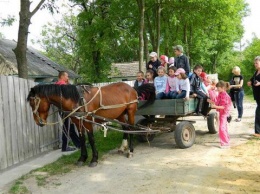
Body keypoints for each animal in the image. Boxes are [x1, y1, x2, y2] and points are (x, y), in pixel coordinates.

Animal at [27, 82, 155, 167]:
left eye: (33, 103)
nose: (38, 122)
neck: (77, 100)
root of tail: (132, 88)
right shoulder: (78, 122)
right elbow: (82, 139)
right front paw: (82, 158)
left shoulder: (88, 121)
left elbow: (91, 138)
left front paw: (94, 159)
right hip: (119, 114)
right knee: (125, 128)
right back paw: (122, 147)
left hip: (131, 111)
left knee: (131, 129)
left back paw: (130, 151)